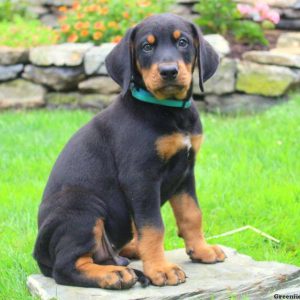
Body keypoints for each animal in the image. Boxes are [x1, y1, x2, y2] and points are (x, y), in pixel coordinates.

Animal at [33, 12, 225, 290]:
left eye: (183, 42)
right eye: (146, 47)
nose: (169, 71)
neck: (168, 110)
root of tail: (39, 255)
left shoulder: (186, 172)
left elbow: (192, 214)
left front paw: (201, 250)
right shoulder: (141, 178)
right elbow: (153, 227)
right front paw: (160, 270)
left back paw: (129, 254)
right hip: (83, 208)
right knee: (66, 267)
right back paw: (114, 274)